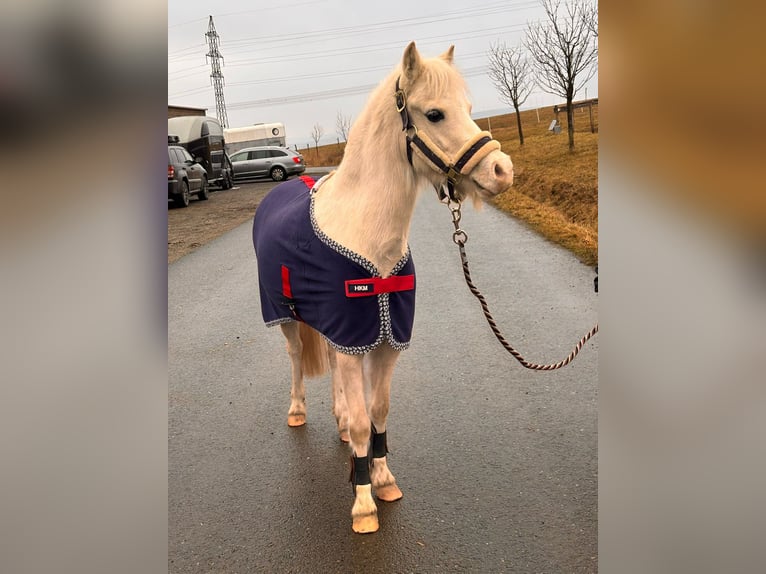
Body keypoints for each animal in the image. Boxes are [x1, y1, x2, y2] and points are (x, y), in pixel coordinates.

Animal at [252, 42, 514, 533]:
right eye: (434, 113)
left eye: (470, 109)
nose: (502, 170)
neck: (369, 239)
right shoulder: (352, 336)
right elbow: (361, 424)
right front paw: (362, 504)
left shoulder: (382, 341)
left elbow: (376, 413)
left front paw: (383, 479)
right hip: (287, 318)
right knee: (296, 358)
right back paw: (297, 411)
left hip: (336, 333)